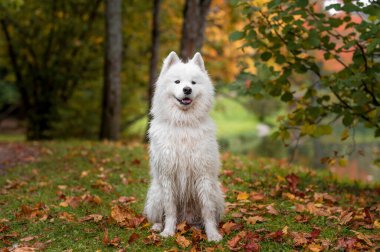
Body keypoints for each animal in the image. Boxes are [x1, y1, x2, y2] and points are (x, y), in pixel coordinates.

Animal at [144, 51, 224, 242]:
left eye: (193, 83)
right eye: (177, 82)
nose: (187, 89)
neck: (183, 124)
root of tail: (185, 220)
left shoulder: (203, 175)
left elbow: (207, 211)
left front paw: (212, 234)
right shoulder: (167, 176)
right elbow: (170, 210)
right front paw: (168, 231)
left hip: (217, 194)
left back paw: (197, 227)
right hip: (156, 194)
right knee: (158, 216)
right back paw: (157, 227)